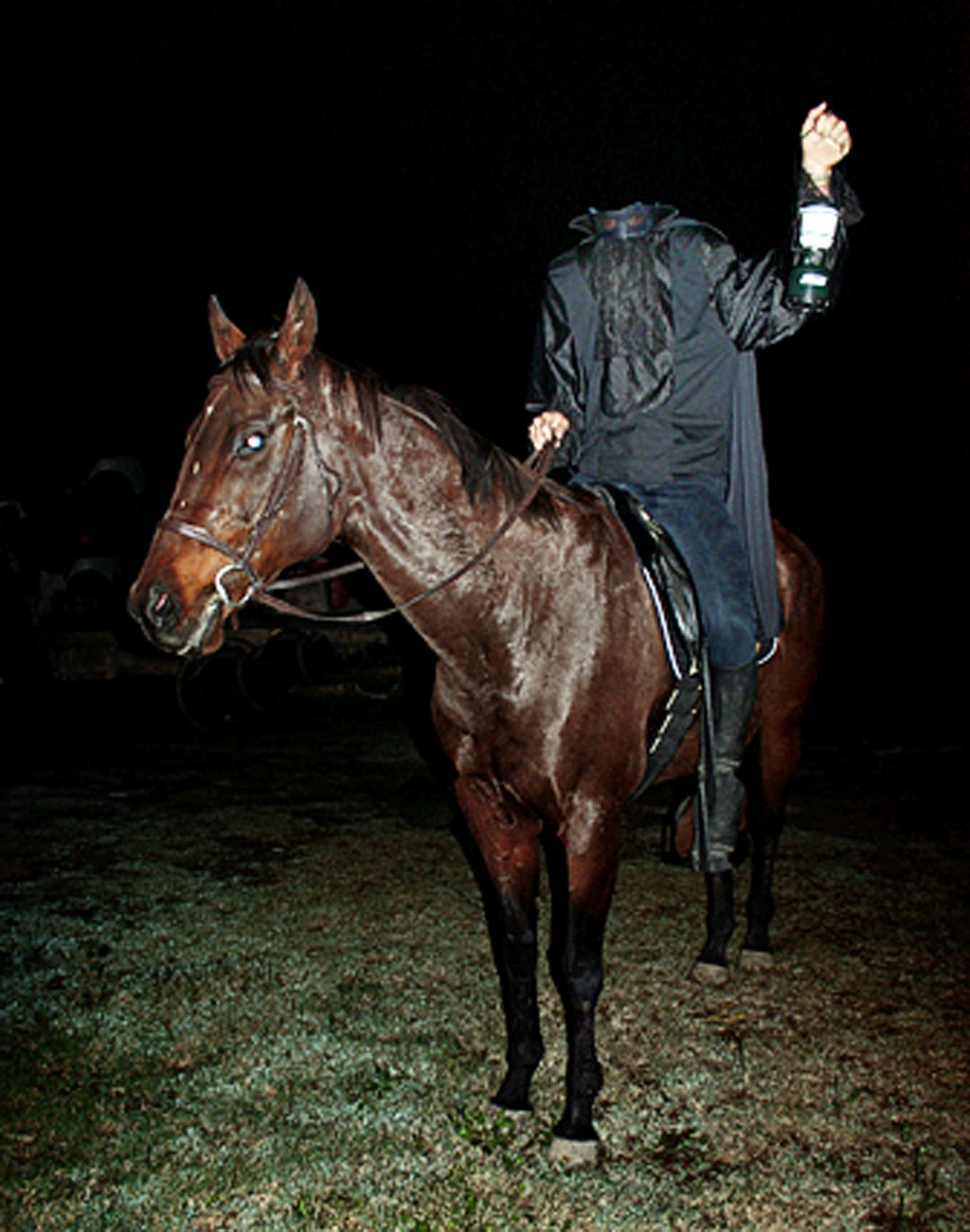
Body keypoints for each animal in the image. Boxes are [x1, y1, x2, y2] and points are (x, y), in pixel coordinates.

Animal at [128, 279, 823, 1163]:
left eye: (252, 440)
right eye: (193, 435)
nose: (155, 604)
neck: (511, 615)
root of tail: (791, 549)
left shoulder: (590, 818)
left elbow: (578, 965)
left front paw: (578, 1116)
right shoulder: (489, 807)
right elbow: (517, 949)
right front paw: (518, 1086)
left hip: (781, 736)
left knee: (763, 828)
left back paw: (755, 940)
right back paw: (713, 945)